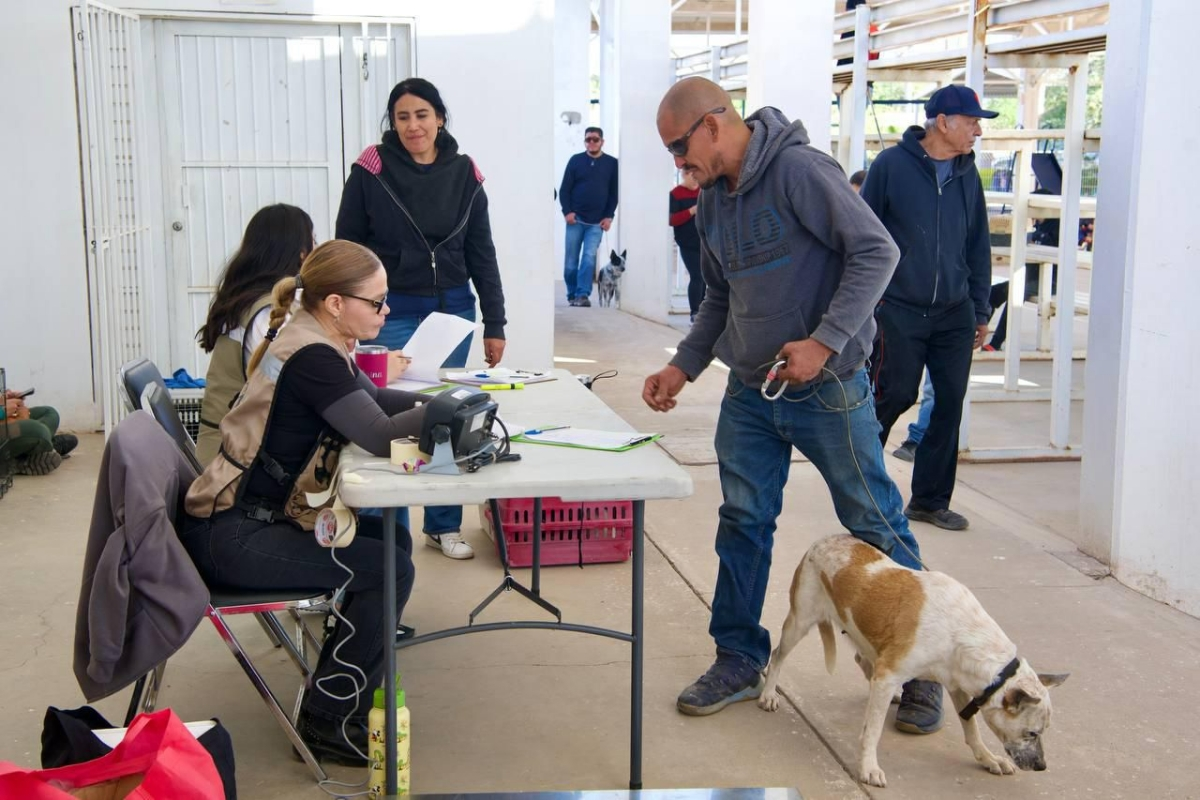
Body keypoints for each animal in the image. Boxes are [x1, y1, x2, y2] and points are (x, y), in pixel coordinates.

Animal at [758, 534, 1070, 791]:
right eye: (1032, 733)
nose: (1042, 766)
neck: (961, 631)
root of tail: (824, 539)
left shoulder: (957, 686)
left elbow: (971, 728)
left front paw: (987, 758)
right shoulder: (890, 673)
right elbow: (872, 731)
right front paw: (869, 767)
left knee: (864, 661)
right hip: (799, 622)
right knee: (777, 655)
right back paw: (769, 694)